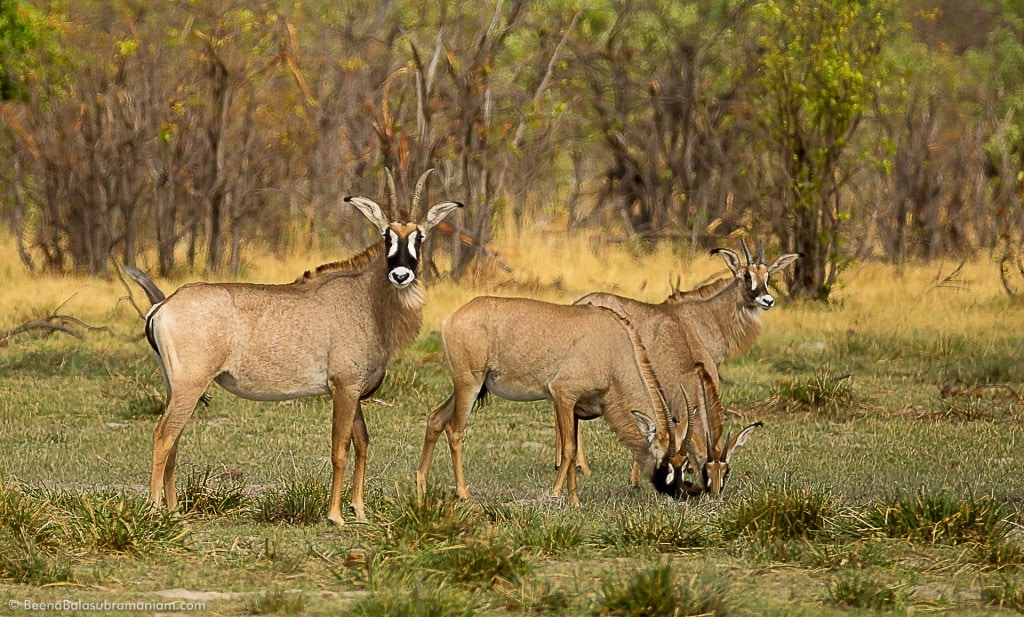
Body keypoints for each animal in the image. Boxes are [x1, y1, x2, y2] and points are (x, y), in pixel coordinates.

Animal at [145, 168, 464, 527]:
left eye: (419, 237)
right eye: (387, 236)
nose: (400, 274)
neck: (367, 299)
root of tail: (164, 306)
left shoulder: (354, 392)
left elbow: (362, 444)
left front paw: (359, 510)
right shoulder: (343, 388)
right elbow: (340, 448)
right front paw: (335, 515)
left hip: (177, 387)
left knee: (174, 439)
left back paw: (174, 510)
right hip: (190, 384)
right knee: (163, 435)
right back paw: (155, 510)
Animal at [411, 298, 684, 507]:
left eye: (685, 464)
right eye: (665, 464)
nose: (676, 497)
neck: (612, 348)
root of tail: (450, 319)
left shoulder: (576, 407)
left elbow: (573, 452)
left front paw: (575, 500)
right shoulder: (562, 395)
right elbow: (569, 449)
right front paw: (555, 494)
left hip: (464, 388)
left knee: (435, 419)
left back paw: (421, 486)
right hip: (469, 386)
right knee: (454, 431)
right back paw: (463, 493)